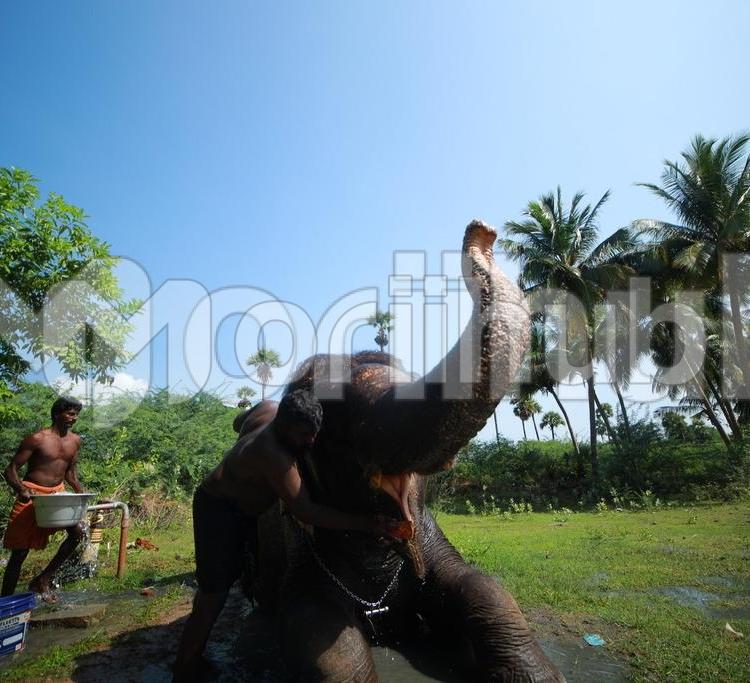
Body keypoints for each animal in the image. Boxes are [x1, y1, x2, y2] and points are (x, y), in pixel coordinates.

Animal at [252, 220, 564, 682]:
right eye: (335, 416)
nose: (482, 232)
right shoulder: (302, 549)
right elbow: (320, 632)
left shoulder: (434, 538)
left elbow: (481, 584)